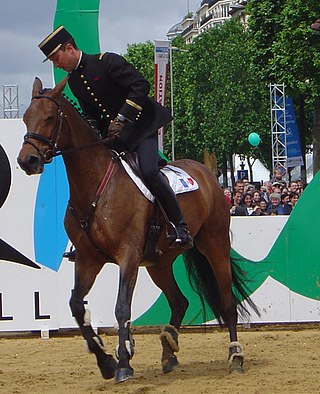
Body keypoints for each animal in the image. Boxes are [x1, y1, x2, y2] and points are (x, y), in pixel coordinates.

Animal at [16, 77, 258, 384]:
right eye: (26, 118)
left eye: (48, 117)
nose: (27, 161)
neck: (95, 185)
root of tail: (205, 172)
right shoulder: (87, 259)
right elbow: (76, 305)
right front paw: (106, 360)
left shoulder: (127, 255)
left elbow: (122, 307)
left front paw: (122, 364)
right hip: (159, 262)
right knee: (179, 302)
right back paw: (168, 350)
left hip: (214, 244)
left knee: (227, 302)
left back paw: (235, 356)